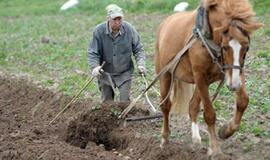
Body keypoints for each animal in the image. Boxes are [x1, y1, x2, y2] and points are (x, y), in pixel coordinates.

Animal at [155, 0, 262, 158]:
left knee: (192, 106)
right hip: (166, 74)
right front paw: (216, 150)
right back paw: (164, 139)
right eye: (225, 47)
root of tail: (165, 22)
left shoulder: (234, 72)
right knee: (166, 106)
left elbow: (243, 101)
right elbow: (209, 114)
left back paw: (196, 138)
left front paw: (226, 131)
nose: (233, 86)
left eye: (246, 47)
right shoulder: (200, 75)